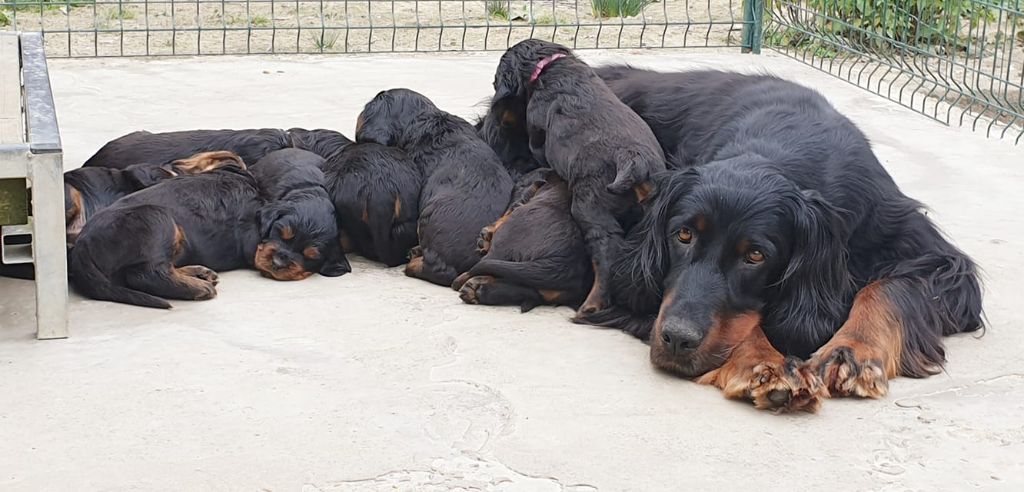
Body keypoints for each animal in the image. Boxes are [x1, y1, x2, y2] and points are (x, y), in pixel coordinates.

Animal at [491, 40, 667, 321]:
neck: (548, 67)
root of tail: (633, 161)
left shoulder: (537, 129)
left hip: (590, 206)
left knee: (606, 249)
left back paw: (592, 304)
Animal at [577, 68, 983, 412]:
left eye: (756, 256)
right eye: (684, 234)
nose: (677, 339)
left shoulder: (934, 258)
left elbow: (887, 288)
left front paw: (851, 351)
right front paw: (765, 364)